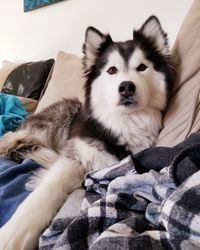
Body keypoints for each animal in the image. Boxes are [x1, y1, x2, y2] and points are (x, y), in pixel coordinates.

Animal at [0, 16, 173, 250]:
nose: (126, 87)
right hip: (60, 116)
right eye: (111, 70)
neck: (122, 122)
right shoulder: (74, 157)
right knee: (9, 137)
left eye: (142, 67)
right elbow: (47, 191)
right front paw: (14, 234)